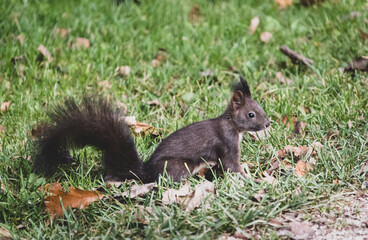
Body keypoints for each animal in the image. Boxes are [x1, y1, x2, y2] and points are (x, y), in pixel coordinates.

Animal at [33, 77, 270, 182]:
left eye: (260, 108)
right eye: (251, 114)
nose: (268, 123)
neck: (233, 125)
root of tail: (146, 171)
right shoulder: (227, 143)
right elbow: (231, 165)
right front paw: (251, 178)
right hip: (178, 167)